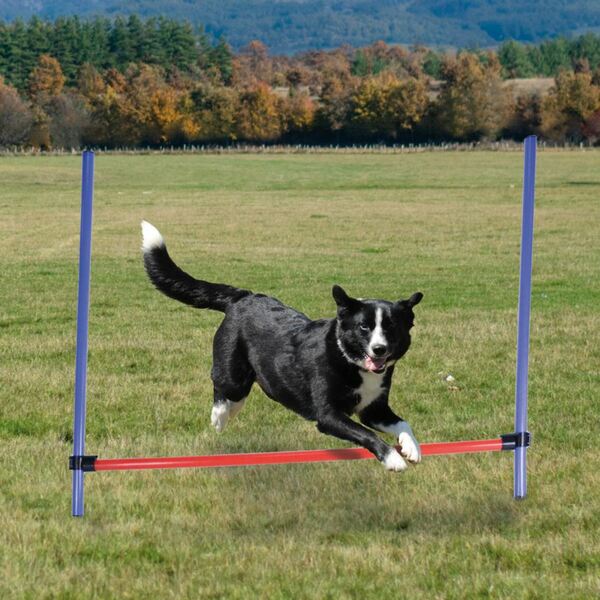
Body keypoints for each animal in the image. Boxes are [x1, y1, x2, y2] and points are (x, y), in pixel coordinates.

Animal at [140, 223, 422, 472]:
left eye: (391, 327)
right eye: (364, 327)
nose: (379, 349)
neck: (348, 359)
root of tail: (243, 296)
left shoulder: (374, 410)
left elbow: (403, 423)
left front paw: (412, 448)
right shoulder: (329, 415)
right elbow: (365, 434)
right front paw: (393, 459)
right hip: (231, 371)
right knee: (223, 388)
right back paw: (219, 418)